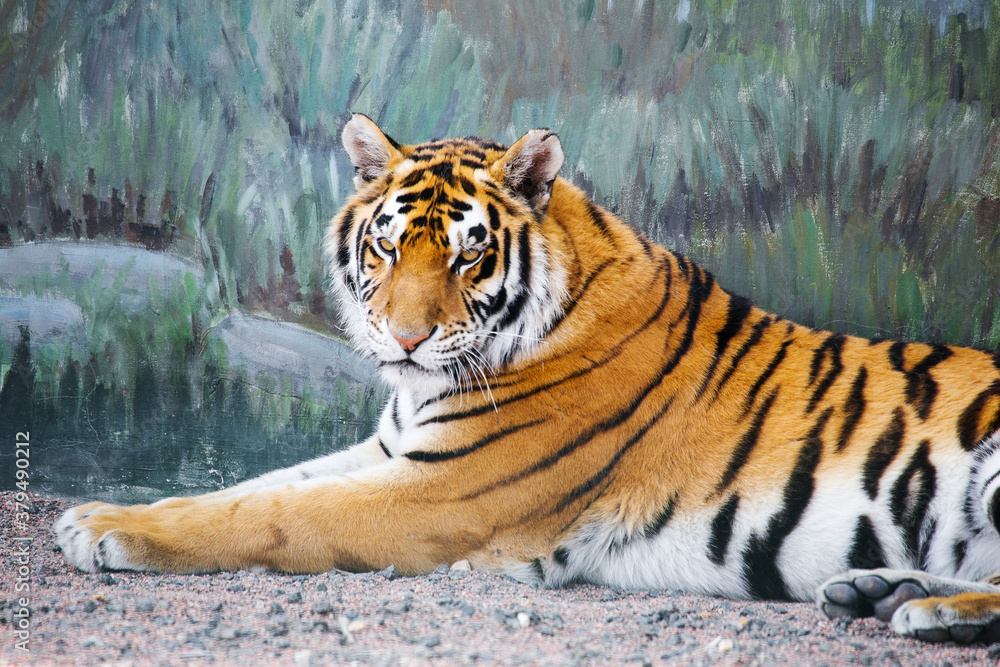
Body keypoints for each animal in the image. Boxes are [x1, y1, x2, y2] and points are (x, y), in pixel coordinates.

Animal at [56, 113, 1000, 644]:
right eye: (387, 244)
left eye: (468, 253)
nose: (404, 336)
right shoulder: (392, 452)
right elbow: (252, 486)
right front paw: (113, 511)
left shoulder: (435, 494)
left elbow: (274, 514)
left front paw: (102, 527)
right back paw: (877, 589)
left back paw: (925, 612)